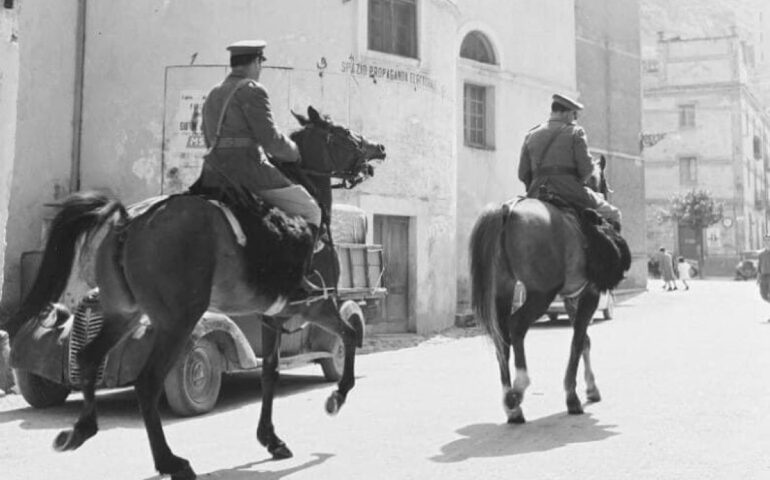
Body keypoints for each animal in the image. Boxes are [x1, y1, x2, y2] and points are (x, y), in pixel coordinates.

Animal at [3, 106, 386, 480]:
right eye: (343, 133)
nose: (378, 149)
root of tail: (128, 221)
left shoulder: (271, 315)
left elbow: (269, 372)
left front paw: (271, 439)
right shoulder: (313, 304)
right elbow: (349, 336)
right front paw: (336, 397)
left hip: (124, 314)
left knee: (88, 358)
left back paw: (80, 430)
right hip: (178, 322)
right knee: (147, 382)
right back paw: (170, 462)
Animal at [469, 156, 628, 424]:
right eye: (604, 182)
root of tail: (507, 211)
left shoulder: (571, 297)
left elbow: (584, 340)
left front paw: (590, 388)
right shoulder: (590, 294)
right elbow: (577, 341)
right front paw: (573, 397)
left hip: (504, 288)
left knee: (502, 335)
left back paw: (512, 406)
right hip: (541, 294)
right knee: (517, 325)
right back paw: (520, 387)